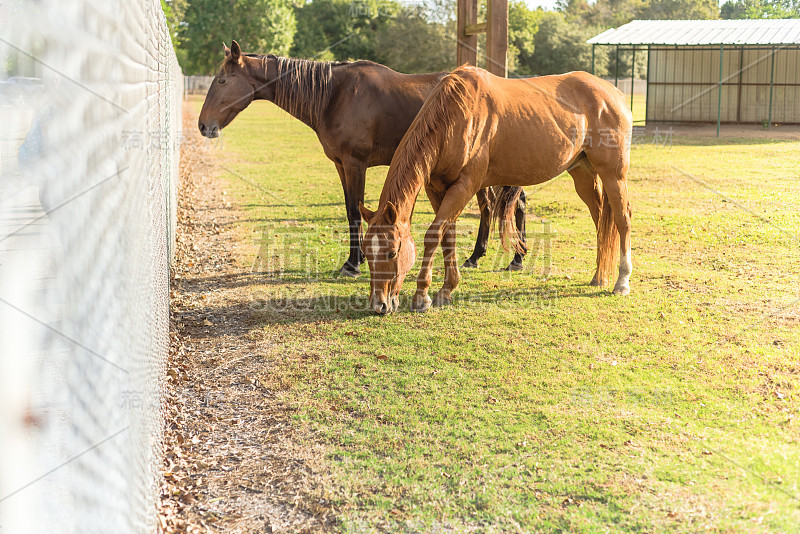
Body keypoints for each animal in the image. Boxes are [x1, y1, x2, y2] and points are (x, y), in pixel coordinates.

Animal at [197, 39, 528, 278]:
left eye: (222, 80)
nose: (203, 126)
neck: (335, 95)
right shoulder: (341, 166)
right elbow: (349, 210)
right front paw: (353, 260)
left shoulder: (356, 164)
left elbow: (355, 213)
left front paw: (353, 265)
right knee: (493, 205)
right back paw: (483, 256)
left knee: (512, 203)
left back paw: (515, 258)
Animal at [360, 68, 632, 318]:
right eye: (365, 251)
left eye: (392, 252)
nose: (379, 305)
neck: (456, 117)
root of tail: (614, 94)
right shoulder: (437, 189)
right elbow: (448, 236)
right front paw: (447, 288)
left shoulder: (465, 186)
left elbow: (433, 236)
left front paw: (422, 296)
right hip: (583, 174)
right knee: (600, 219)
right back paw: (599, 275)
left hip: (613, 175)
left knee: (622, 219)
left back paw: (622, 281)